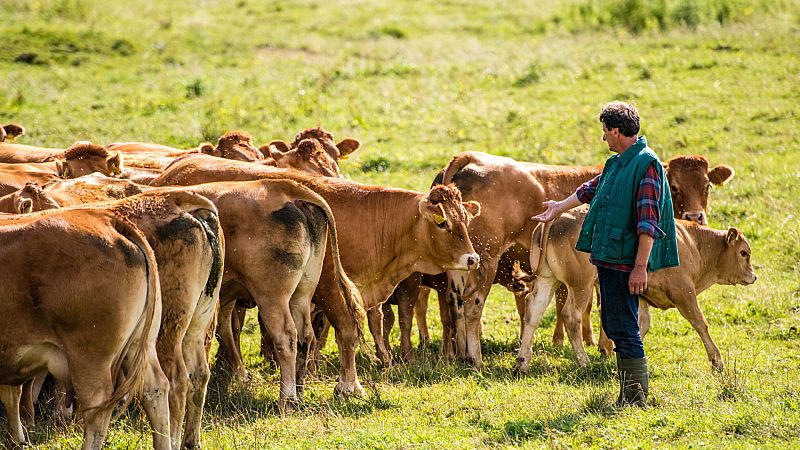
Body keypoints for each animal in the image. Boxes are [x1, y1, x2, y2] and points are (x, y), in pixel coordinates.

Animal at [514, 207, 757, 372]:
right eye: (744, 253)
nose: (753, 276)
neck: (693, 245)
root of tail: (557, 217)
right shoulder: (684, 293)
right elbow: (701, 324)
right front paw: (717, 361)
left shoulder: (640, 295)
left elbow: (641, 326)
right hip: (581, 284)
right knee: (570, 316)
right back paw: (584, 362)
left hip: (547, 280)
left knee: (533, 312)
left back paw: (522, 362)